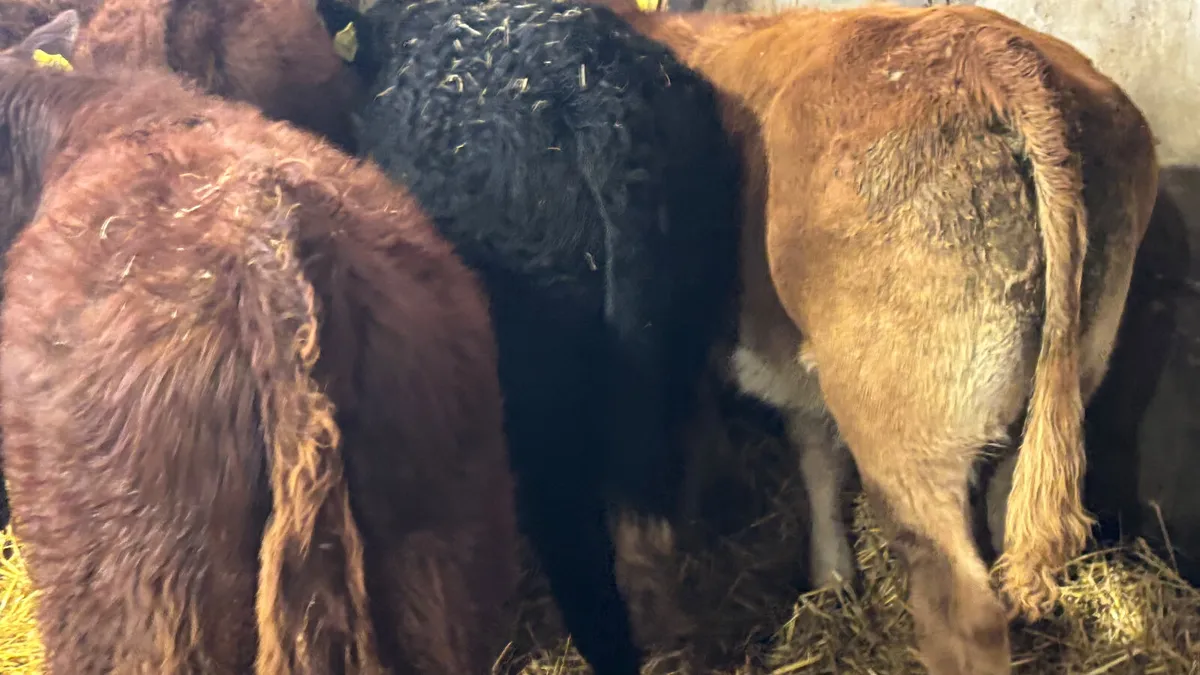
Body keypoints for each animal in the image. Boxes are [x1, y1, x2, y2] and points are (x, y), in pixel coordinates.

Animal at [586, 3, 1160, 674]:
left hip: (904, 424)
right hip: (1061, 383)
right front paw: (831, 576)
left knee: (963, 608)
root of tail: (995, 55)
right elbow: (815, 455)